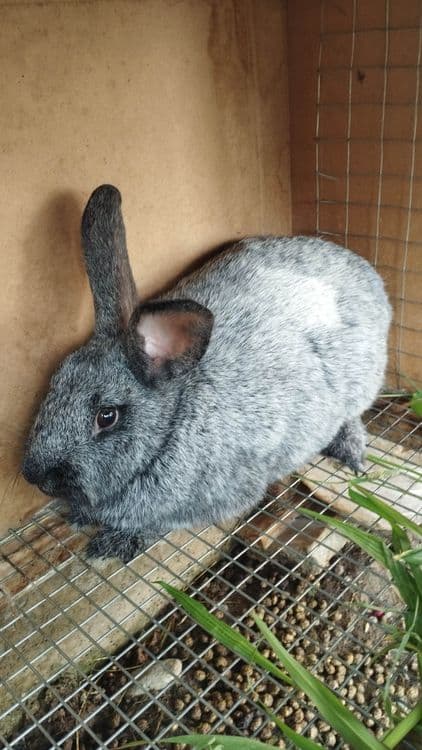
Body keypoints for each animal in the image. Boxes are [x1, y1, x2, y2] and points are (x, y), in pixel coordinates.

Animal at [21, 184, 392, 562]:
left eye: (106, 416)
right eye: (55, 383)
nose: (36, 477)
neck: (172, 423)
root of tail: (368, 274)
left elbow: (161, 524)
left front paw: (115, 542)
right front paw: (80, 515)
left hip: (360, 384)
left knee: (352, 417)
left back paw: (351, 453)